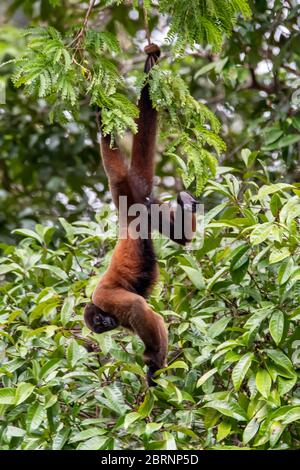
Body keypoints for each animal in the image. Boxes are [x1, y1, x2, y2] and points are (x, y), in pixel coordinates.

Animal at [84, 43, 197, 386]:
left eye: (98, 319)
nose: (105, 326)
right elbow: (155, 317)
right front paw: (154, 365)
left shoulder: (108, 299)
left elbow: (136, 307)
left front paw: (154, 363)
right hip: (148, 207)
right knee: (178, 234)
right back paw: (187, 205)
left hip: (133, 203)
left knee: (115, 169)